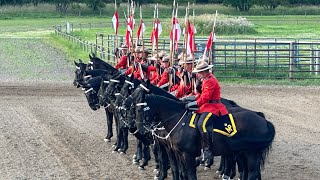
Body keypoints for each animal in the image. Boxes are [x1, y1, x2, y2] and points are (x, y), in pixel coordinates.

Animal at [122, 80, 276, 180]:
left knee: (251, 173)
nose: (137, 127)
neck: (177, 120)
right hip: (243, 152)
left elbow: (188, 175)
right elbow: (179, 171)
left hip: (251, 153)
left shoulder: (186, 154)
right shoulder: (174, 151)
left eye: (140, 108)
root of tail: (262, 118)